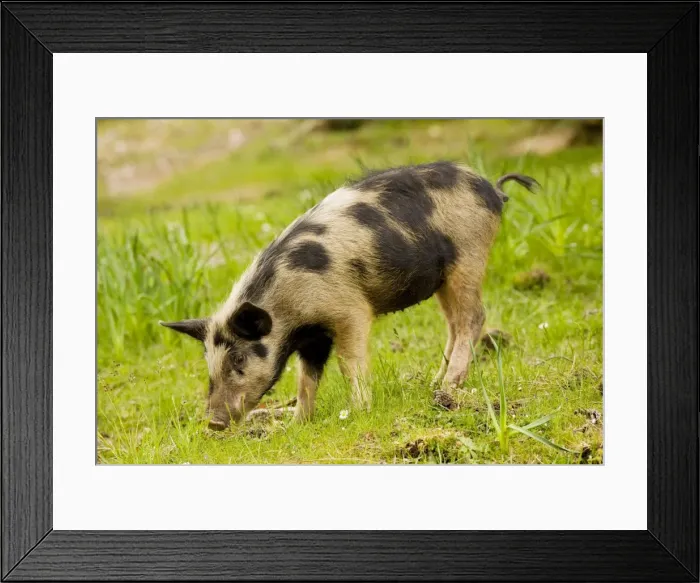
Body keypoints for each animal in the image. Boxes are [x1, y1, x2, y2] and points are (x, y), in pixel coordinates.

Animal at [161, 161, 538, 429]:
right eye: (208, 361)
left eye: (238, 359)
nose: (213, 422)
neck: (289, 310)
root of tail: (492, 190)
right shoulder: (312, 339)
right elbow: (306, 379)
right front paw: (297, 424)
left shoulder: (349, 311)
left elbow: (348, 363)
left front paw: (357, 411)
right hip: (443, 278)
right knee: (454, 325)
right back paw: (433, 384)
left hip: (469, 256)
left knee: (473, 317)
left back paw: (446, 388)